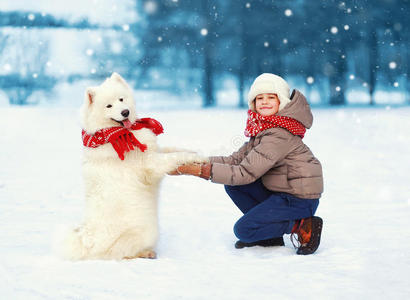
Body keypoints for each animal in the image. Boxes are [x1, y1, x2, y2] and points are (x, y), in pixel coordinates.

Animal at [61, 71, 207, 258]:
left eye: (121, 99)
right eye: (109, 106)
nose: (125, 112)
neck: (119, 133)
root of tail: (88, 242)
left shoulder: (155, 151)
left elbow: (174, 149)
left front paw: (196, 153)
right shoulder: (150, 163)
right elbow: (174, 156)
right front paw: (200, 159)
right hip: (147, 231)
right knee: (121, 254)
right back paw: (146, 253)